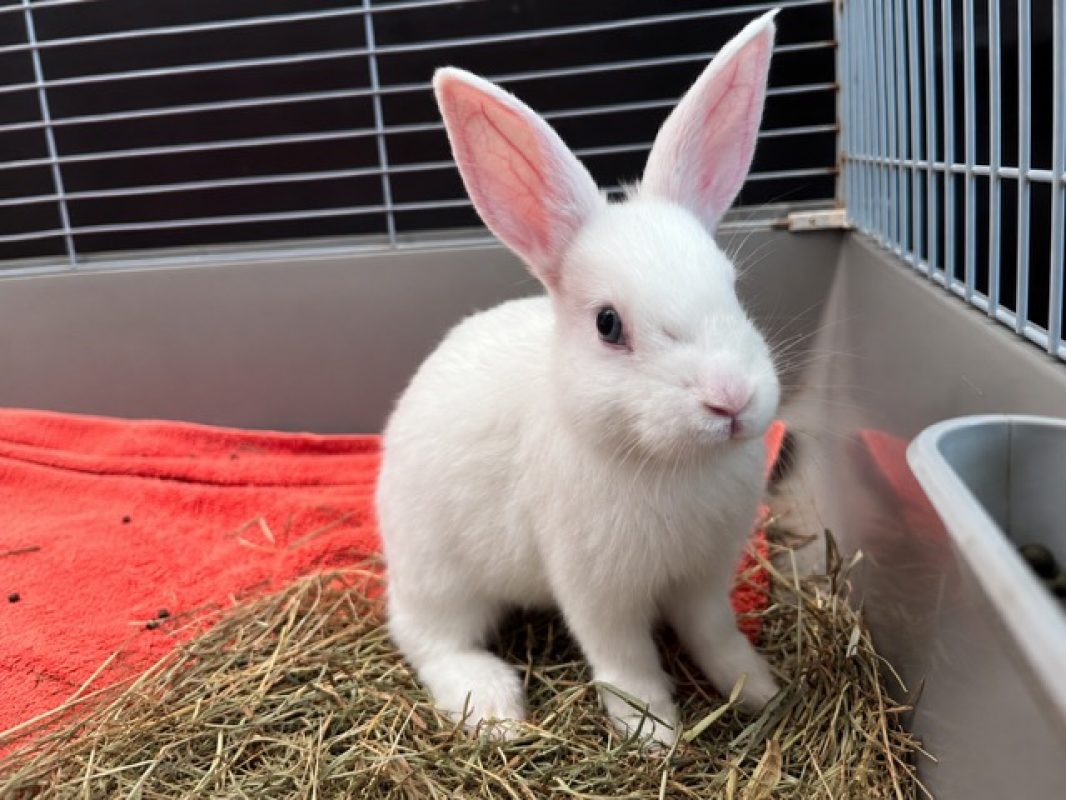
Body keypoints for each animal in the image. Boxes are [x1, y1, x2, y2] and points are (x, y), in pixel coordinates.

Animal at [375, 9, 781, 746]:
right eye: (608, 324)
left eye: (733, 287)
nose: (730, 400)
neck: (672, 465)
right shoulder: (597, 589)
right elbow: (626, 659)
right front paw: (654, 734)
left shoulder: (706, 578)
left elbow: (715, 634)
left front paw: (759, 689)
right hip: (439, 573)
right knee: (427, 638)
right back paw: (494, 707)